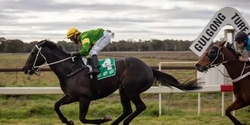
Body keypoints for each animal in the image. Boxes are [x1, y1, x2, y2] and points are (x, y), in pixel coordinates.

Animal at [22, 39, 201, 124]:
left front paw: (104, 119)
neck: (70, 70)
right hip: (123, 90)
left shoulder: (84, 97)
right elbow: (56, 106)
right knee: (127, 110)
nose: (25, 68)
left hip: (131, 89)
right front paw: (68, 121)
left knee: (139, 107)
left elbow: (83, 118)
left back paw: (121, 122)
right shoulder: (71, 96)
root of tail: (149, 68)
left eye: (33, 53)